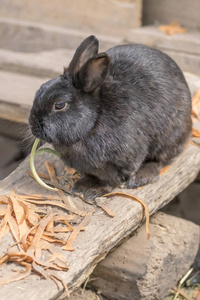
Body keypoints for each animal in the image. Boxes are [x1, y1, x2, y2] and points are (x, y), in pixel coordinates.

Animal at [28, 35, 191, 199]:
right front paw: (82, 186)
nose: (33, 125)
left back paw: (140, 177)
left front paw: (94, 190)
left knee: (160, 160)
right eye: (39, 90)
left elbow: (113, 179)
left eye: (60, 104)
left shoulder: (126, 160)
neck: (94, 120)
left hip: (170, 135)